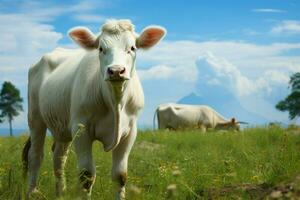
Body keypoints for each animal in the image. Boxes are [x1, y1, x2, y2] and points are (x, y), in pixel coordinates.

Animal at [21, 19, 166, 200]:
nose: (116, 71)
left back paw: (61, 192)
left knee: (59, 157)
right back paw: (31, 192)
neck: (115, 102)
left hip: (62, 126)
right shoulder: (81, 128)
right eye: (101, 48)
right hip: (35, 118)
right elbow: (86, 176)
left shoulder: (130, 132)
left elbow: (120, 175)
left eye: (132, 48)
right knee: (35, 155)